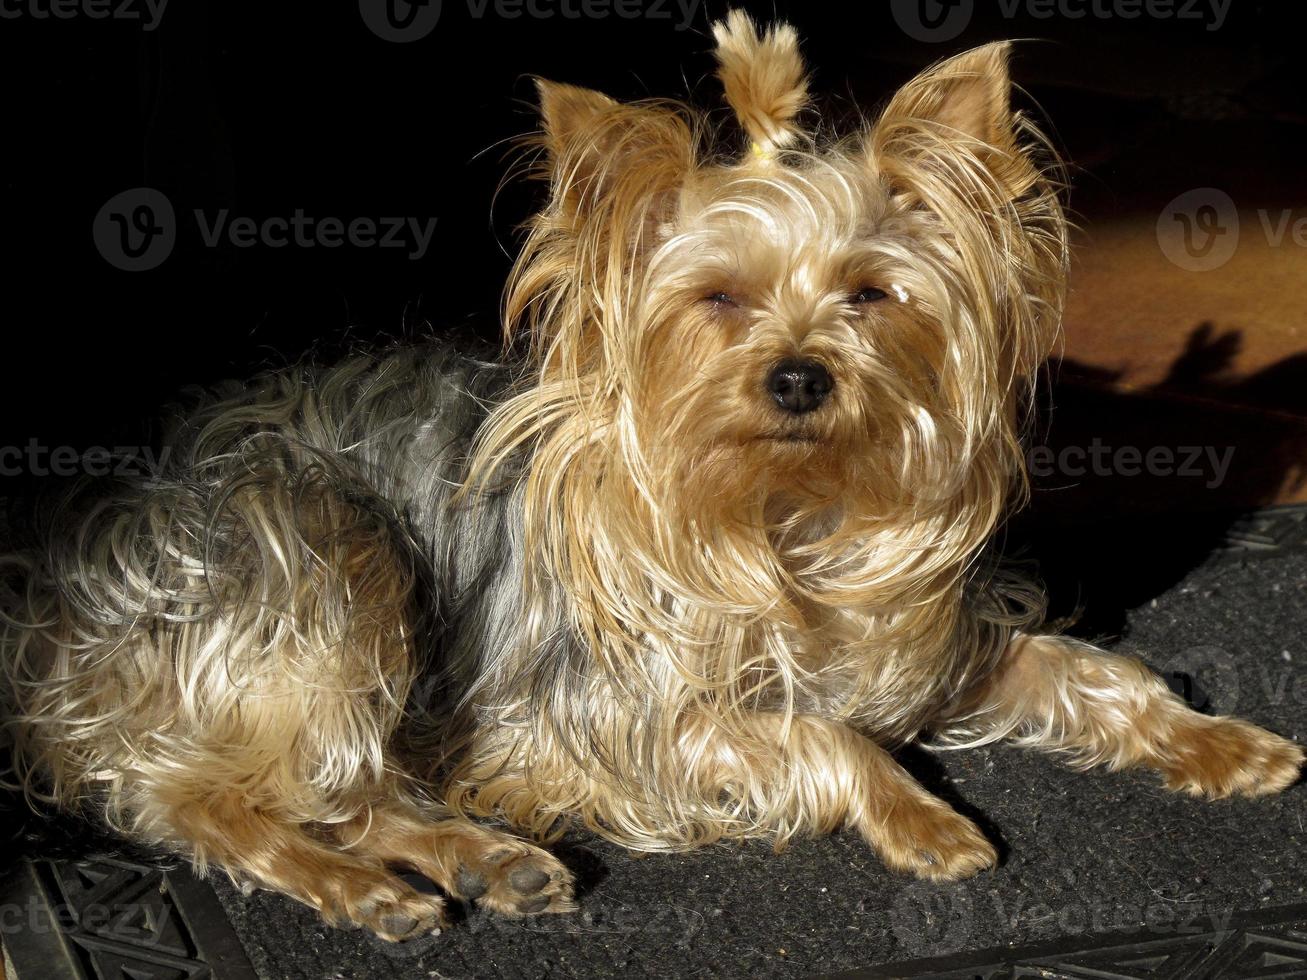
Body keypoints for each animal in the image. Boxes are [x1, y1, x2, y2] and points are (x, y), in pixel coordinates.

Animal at [2, 11, 1307, 940]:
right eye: (717, 297)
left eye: (869, 293)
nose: (797, 376)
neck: (784, 510)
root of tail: (53, 564)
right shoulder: (618, 723)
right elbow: (813, 739)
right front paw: (919, 814)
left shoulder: (920, 643)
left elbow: (1085, 669)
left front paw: (1215, 742)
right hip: (313, 547)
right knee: (206, 795)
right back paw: (365, 880)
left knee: (341, 782)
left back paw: (485, 859)